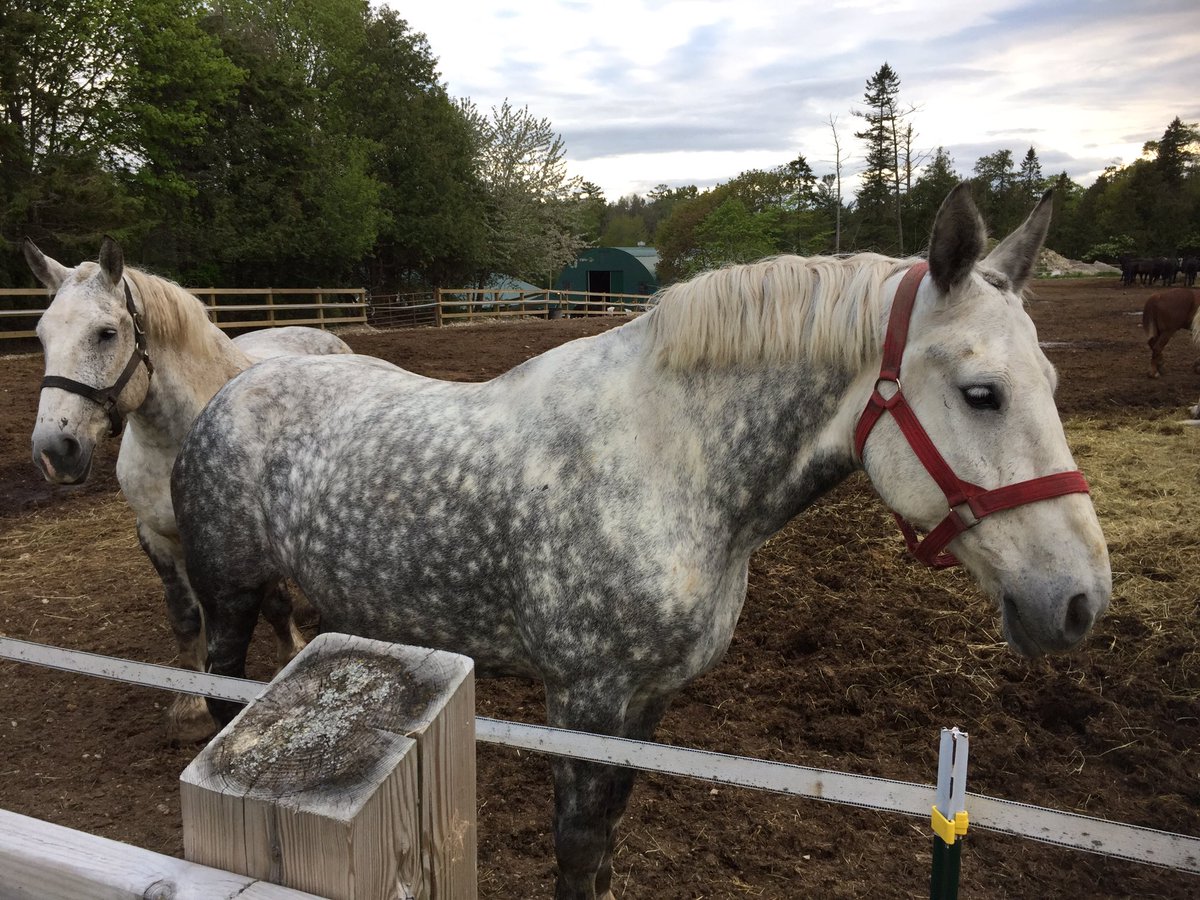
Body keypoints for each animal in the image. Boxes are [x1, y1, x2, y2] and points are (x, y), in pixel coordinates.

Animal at [25, 237, 353, 741]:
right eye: (42, 336)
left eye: (106, 333)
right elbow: (183, 618)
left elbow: (276, 603)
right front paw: (191, 706)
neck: (178, 436)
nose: (54, 452)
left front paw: (290, 654)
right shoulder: (155, 536)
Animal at [172, 185, 1111, 900]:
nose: (1078, 601)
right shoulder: (584, 697)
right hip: (229, 595)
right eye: (982, 392)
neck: (667, 464)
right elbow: (579, 844)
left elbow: (612, 830)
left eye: (1054, 380)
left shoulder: (646, 700)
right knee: (222, 693)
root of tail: (231, 390)